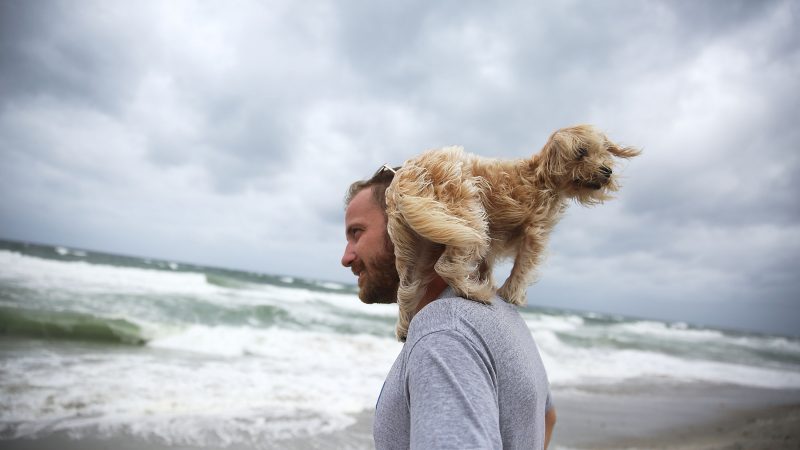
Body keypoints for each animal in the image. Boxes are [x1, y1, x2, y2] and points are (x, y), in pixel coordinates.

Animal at [384, 124, 640, 342]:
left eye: (604, 151)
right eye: (581, 152)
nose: (607, 171)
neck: (541, 177)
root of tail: (408, 175)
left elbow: (488, 264)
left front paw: (488, 279)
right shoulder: (536, 232)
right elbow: (523, 267)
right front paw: (511, 295)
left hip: (417, 242)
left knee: (407, 288)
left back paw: (406, 327)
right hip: (468, 217)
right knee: (446, 266)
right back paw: (475, 293)